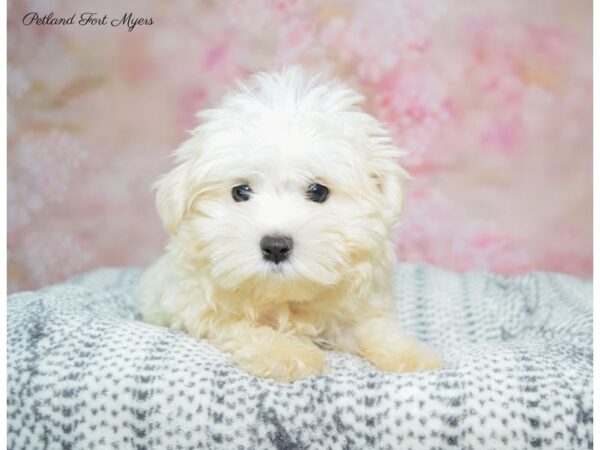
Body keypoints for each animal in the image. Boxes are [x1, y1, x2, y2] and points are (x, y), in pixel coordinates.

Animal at [138, 67, 442, 384]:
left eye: (318, 191)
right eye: (240, 191)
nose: (275, 246)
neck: (284, 296)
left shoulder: (358, 302)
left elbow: (373, 326)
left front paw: (411, 354)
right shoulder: (196, 307)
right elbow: (244, 327)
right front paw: (285, 353)